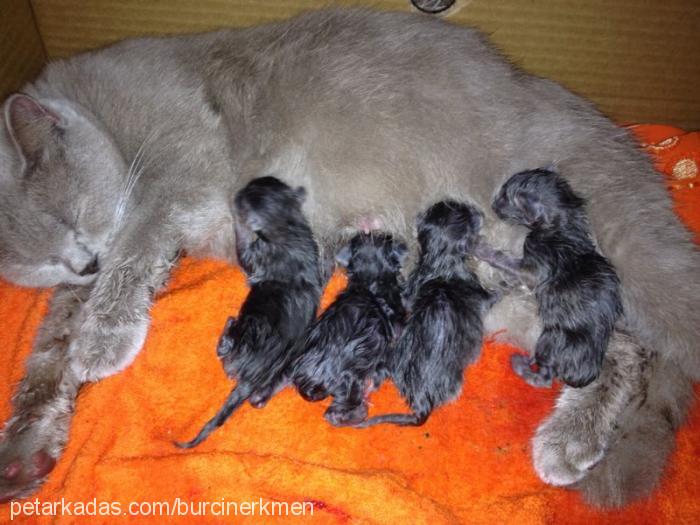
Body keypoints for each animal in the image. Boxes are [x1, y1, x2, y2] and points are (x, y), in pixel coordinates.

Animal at [175, 176, 320, 446]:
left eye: (248, 193)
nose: (241, 190)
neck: (287, 225)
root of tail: (252, 376)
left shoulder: (256, 254)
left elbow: (243, 246)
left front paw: (237, 220)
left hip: (242, 338)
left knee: (225, 348)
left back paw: (229, 325)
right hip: (286, 366)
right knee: (261, 396)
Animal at [482, 170, 624, 386]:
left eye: (505, 197)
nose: (493, 204)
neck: (564, 222)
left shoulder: (531, 269)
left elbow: (503, 259)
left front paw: (480, 248)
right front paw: (504, 283)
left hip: (550, 340)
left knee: (544, 378)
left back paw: (520, 363)